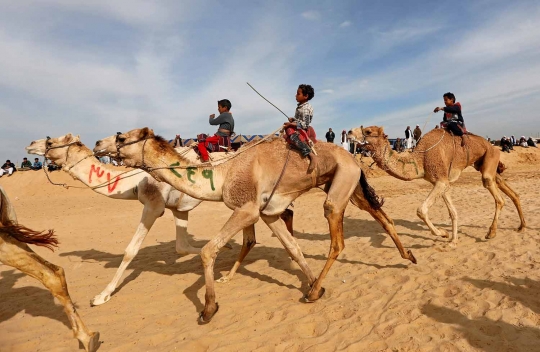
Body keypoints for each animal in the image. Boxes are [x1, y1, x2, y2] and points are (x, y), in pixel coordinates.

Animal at [108, 127, 414, 324]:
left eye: (121, 137)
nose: (100, 144)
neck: (223, 173)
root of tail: (354, 159)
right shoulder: (267, 214)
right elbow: (292, 248)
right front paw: (314, 283)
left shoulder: (247, 209)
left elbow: (208, 251)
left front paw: (208, 309)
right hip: (350, 184)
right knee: (380, 215)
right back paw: (408, 255)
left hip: (339, 188)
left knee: (338, 240)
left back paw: (312, 293)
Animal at [348, 125, 524, 246]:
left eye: (368, 131)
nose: (349, 132)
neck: (421, 159)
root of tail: (493, 145)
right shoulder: (441, 182)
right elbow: (453, 212)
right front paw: (453, 239)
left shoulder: (441, 180)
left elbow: (421, 210)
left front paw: (443, 234)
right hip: (483, 163)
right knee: (504, 185)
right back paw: (522, 226)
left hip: (490, 158)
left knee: (496, 193)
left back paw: (491, 233)